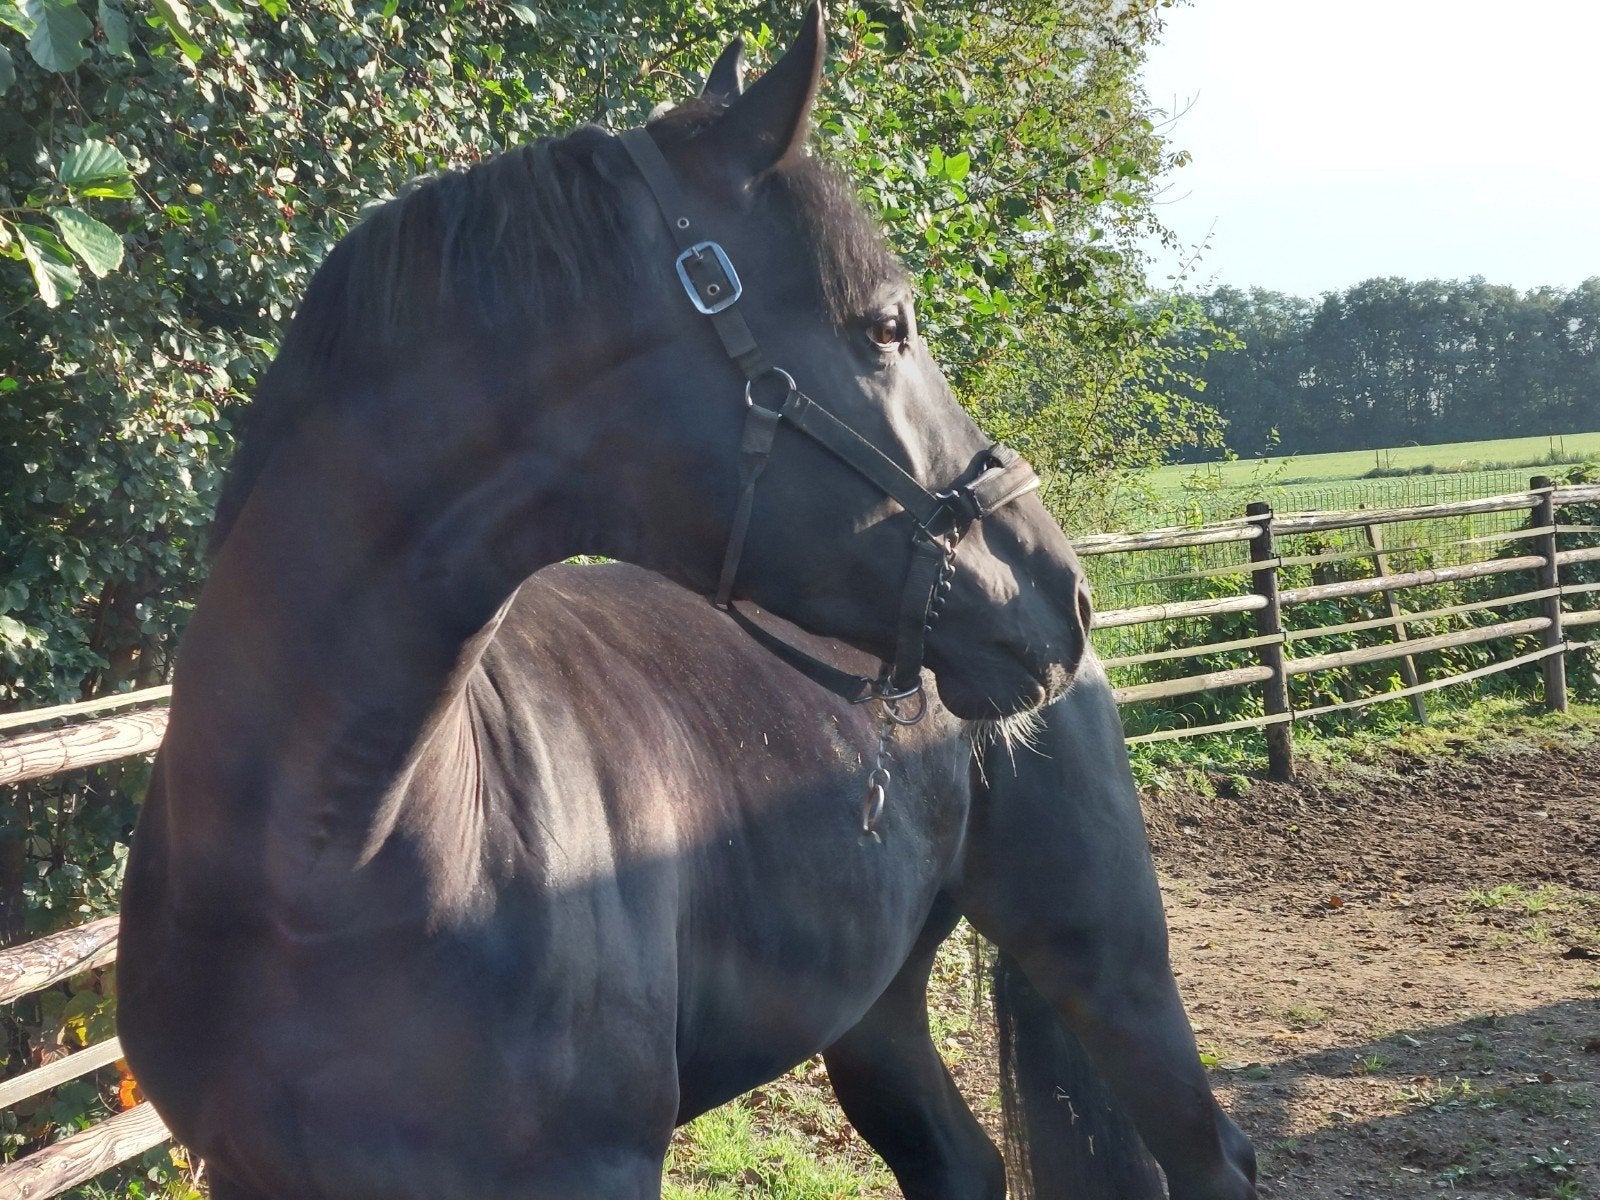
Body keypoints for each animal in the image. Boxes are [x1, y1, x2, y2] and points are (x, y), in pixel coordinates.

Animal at [116, 8, 1252, 1196]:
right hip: (876, 1005)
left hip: (1107, 960)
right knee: (962, 1161)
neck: (325, 865)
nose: (1057, 590)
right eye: (885, 328)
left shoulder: (598, 1168)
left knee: (1209, 1150)